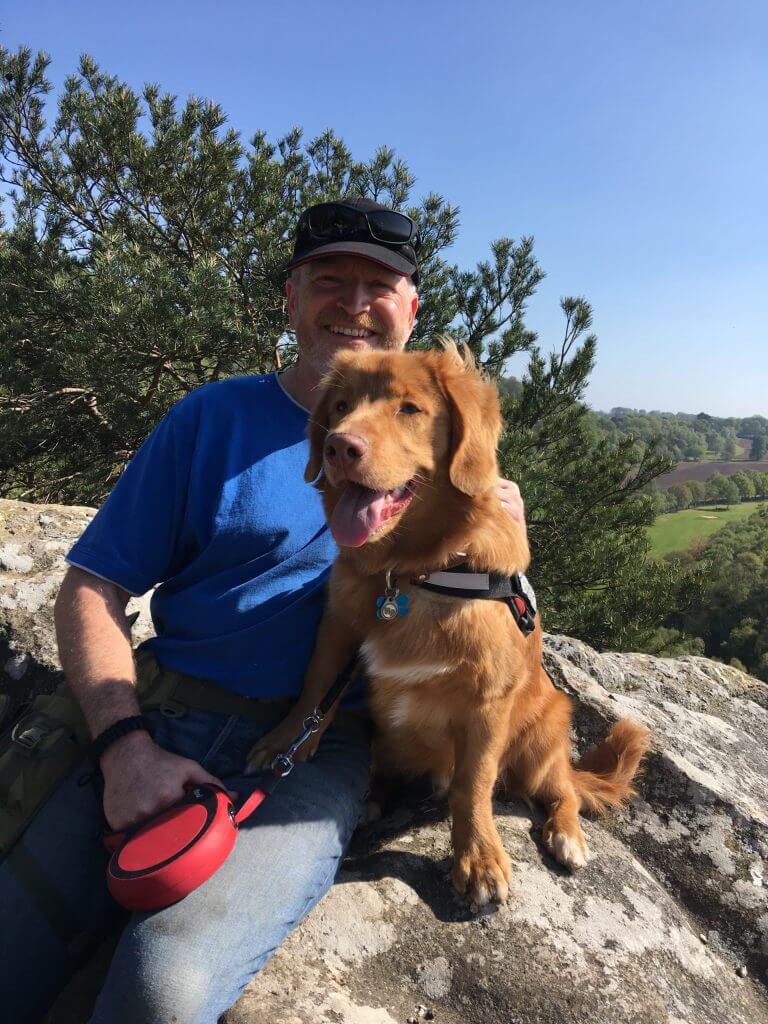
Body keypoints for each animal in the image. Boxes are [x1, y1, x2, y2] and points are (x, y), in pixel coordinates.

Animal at [249, 342, 651, 905]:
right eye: (341, 407)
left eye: (409, 409)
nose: (338, 446)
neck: (412, 572)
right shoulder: (339, 627)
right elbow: (314, 691)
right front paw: (287, 742)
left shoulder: (486, 702)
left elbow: (473, 784)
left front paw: (477, 855)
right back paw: (373, 798)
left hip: (542, 739)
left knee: (563, 790)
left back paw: (566, 833)